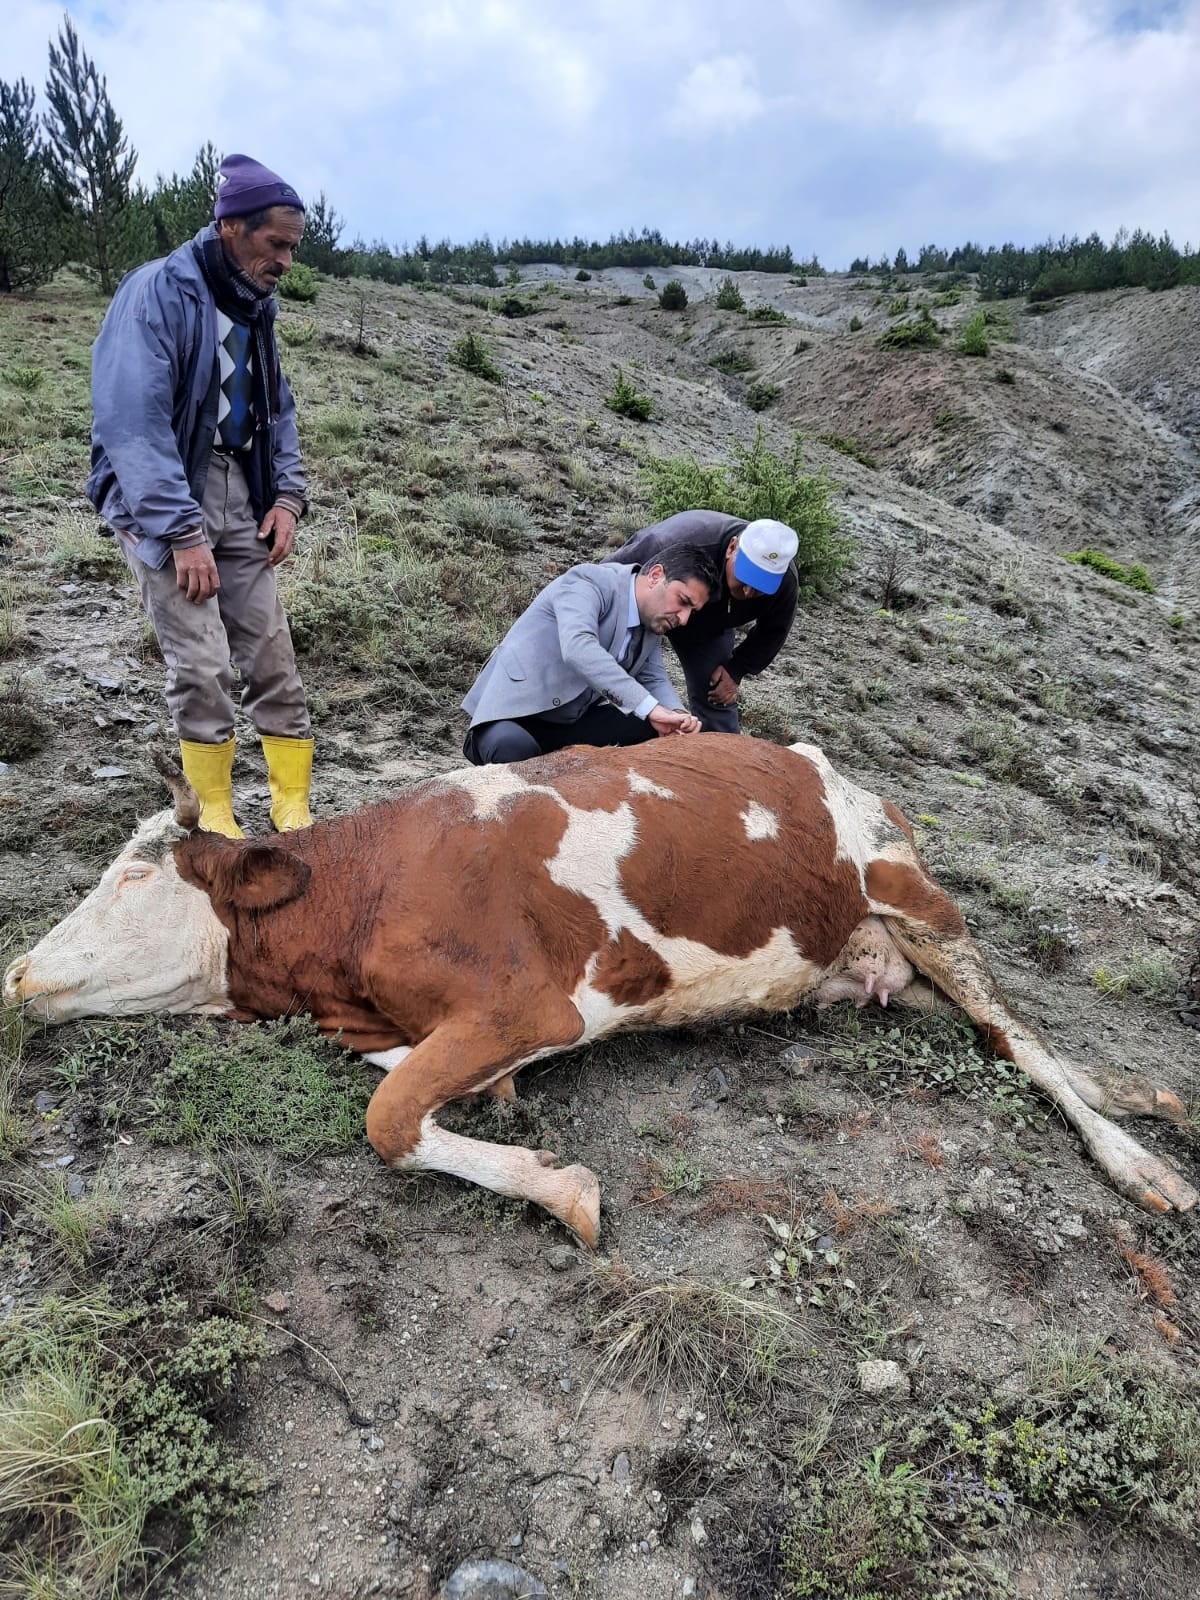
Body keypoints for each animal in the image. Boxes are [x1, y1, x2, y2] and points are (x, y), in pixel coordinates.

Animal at [4, 732, 1196, 1241]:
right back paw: (1147, 1097)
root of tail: (847, 771)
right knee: (996, 1032)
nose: (16, 971)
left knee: (1019, 1038)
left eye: (131, 874)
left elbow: (389, 1117)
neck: (361, 897)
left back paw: (1141, 1162)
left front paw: (560, 1188)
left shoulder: (534, 1001)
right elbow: (406, 1082)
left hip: (915, 896)